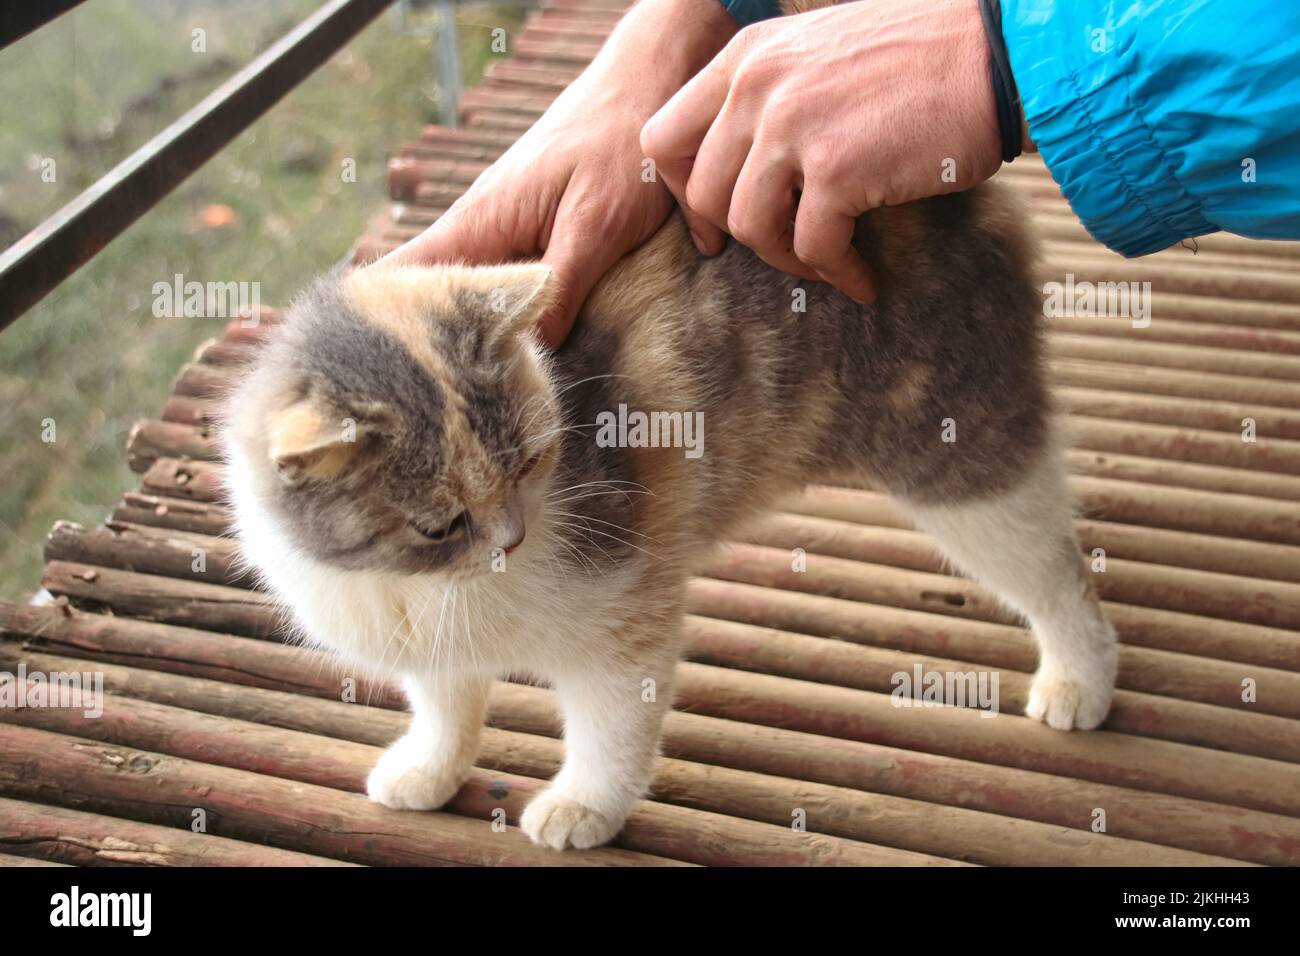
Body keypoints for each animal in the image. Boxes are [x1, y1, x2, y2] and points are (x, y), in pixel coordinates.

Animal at [220, 188, 1118, 853]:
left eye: (530, 464)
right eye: (439, 527)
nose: (512, 539)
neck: (417, 589)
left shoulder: (624, 608)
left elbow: (611, 728)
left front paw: (584, 806)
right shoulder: (433, 648)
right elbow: (445, 707)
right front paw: (430, 769)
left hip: (967, 463)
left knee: (1061, 580)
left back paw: (1080, 681)